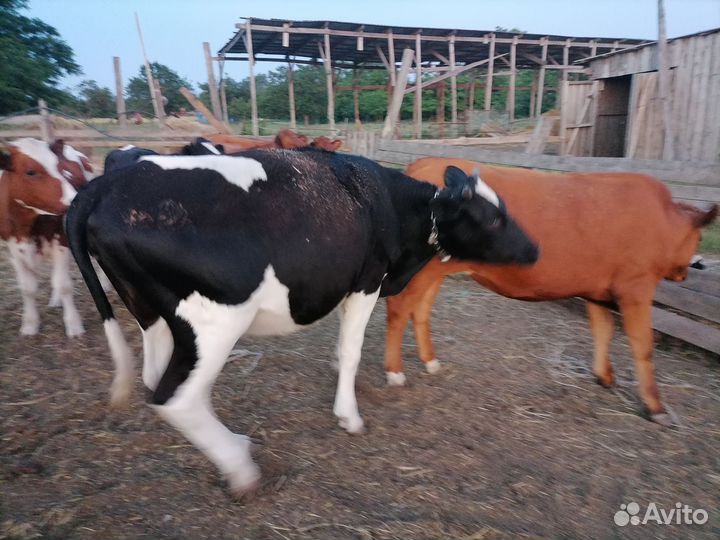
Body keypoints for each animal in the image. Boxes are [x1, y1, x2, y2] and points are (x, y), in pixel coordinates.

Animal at [0, 138, 89, 336]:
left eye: (60, 167)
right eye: (30, 172)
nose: (75, 198)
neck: (25, 225)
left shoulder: (61, 240)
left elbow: (64, 285)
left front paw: (74, 325)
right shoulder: (12, 250)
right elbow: (27, 288)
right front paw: (29, 324)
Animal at [65, 150, 538, 495]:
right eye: (494, 217)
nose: (535, 250)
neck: (389, 203)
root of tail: (103, 187)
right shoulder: (367, 281)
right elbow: (352, 350)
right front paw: (349, 415)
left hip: (151, 313)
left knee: (155, 378)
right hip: (215, 320)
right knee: (177, 398)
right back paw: (241, 467)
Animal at [384, 157, 718, 427]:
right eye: (698, 237)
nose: (689, 269)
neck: (661, 218)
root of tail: (425, 162)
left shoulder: (598, 288)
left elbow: (603, 330)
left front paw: (604, 377)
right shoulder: (636, 287)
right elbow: (643, 346)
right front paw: (656, 407)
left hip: (435, 271)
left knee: (420, 310)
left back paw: (430, 361)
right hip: (422, 272)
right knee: (399, 309)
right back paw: (395, 372)